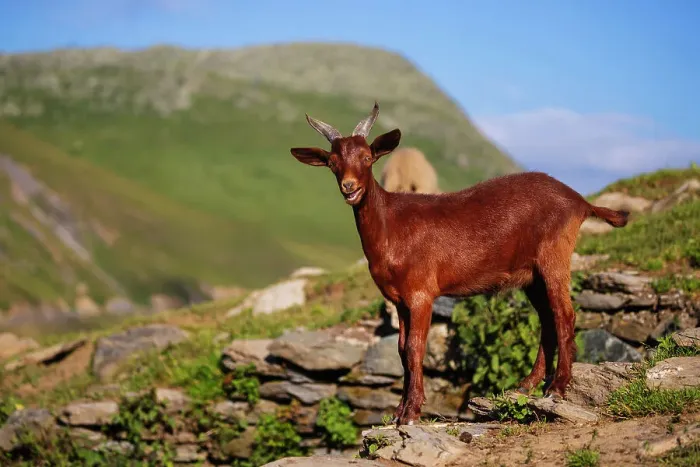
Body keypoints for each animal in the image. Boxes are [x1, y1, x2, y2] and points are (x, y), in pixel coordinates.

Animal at [290, 102, 629, 426]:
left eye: (367, 157)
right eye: (333, 163)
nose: (349, 187)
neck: (391, 227)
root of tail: (579, 201)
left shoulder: (421, 293)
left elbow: (415, 348)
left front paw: (412, 412)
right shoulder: (398, 300)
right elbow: (400, 348)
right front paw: (398, 411)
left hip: (554, 256)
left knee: (565, 315)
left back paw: (557, 387)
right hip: (531, 275)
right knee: (547, 318)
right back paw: (527, 385)